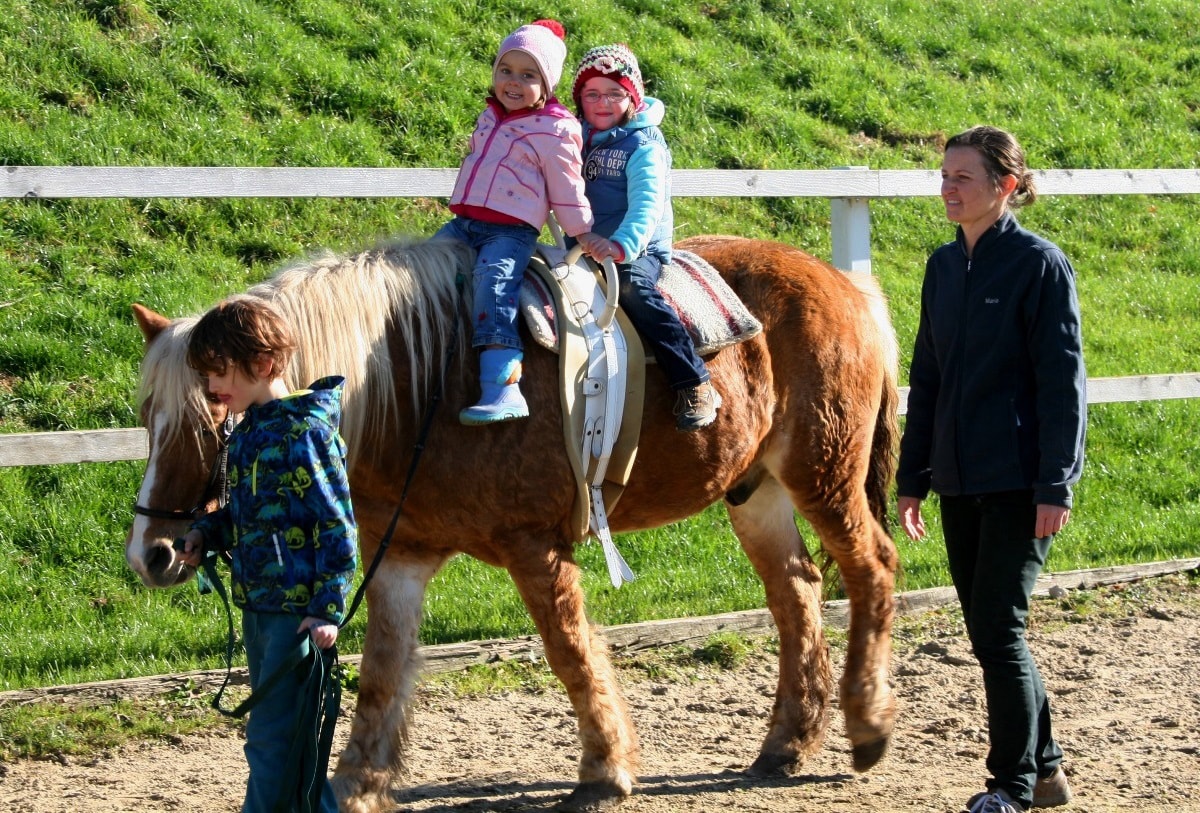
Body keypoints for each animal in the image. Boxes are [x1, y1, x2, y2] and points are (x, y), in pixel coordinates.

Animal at [129, 232, 902, 810]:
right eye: (147, 414)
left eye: (216, 414)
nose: (153, 552)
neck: (425, 383)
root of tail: (846, 285)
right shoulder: (402, 556)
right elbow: (380, 673)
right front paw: (356, 782)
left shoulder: (534, 546)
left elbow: (570, 650)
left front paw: (604, 770)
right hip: (756, 491)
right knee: (796, 592)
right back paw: (786, 743)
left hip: (823, 473)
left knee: (871, 569)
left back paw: (866, 725)